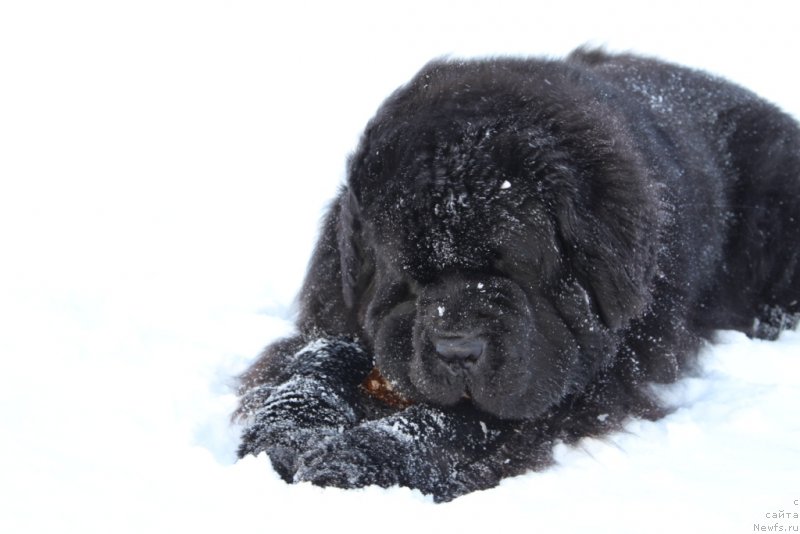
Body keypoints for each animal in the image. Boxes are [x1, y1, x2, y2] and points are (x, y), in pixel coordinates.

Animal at [236, 49, 800, 502]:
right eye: (412, 277)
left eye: (510, 269)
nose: (458, 350)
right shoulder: (336, 312)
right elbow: (314, 363)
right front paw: (284, 432)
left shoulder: (572, 380)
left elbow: (457, 419)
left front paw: (359, 458)